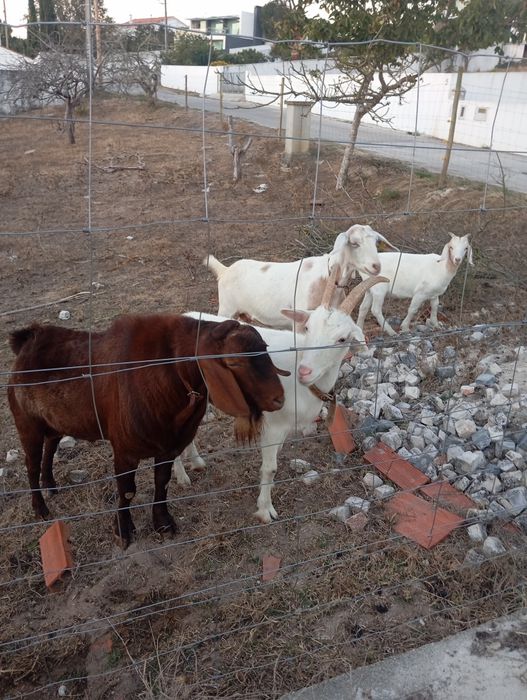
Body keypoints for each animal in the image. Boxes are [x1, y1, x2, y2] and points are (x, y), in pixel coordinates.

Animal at [8, 314, 286, 546]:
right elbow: (127, 490)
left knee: (50, 447)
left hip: (52, 422)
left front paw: (163, 523)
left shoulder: (168, 446)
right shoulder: (124, 450)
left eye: (264, 350)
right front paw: (123, 531)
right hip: (27, 424)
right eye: (234, 362)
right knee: (31, 463)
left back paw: (51, 485)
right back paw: (41, 508)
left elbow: (162, 482)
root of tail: (27, 340)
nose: (279, 399)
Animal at [177, 270, 388, 523]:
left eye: (342, 339)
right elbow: (271, 468)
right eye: (307, 328)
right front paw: (265, 510)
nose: (304, 371)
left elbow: (274, 457)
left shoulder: (285, 426)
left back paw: (196, 462)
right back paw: (181, 477)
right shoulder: (274, 424)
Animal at [205, 224, 396, 329]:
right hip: (226, 309)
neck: (328, 278)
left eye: (376, 242)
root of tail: (224, 270)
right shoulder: (300, 321)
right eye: (354, 243)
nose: (376, 266)